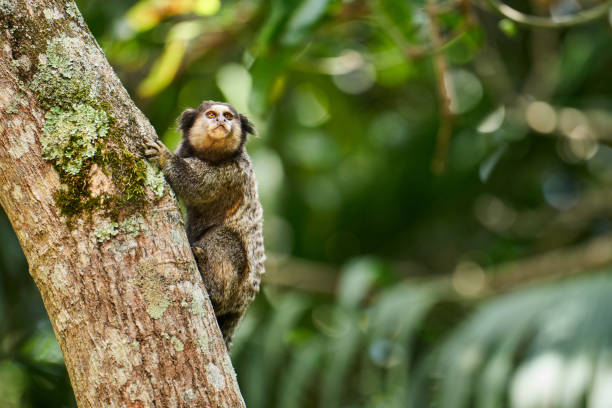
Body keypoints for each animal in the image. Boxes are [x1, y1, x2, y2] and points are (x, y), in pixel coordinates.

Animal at [147, 99, 266, 348]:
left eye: (228, 116)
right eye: (211, 115)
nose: (220, 121)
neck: (212, 157)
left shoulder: (229, 174)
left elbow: (196, 185)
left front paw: (165, 158)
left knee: (225, 238)